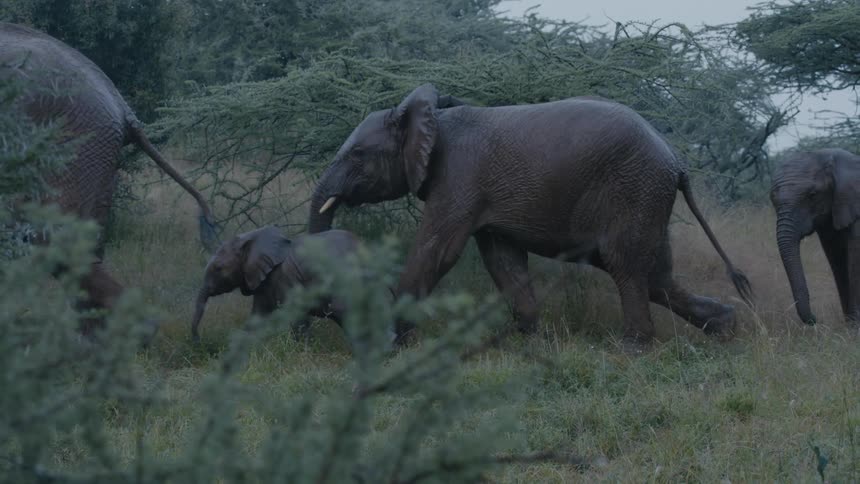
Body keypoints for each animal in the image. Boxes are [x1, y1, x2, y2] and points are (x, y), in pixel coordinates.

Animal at [191, 226, 394, 344]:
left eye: (218, 268)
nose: (198, 342)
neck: (252, 238)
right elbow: (258, 317)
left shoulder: (284, 277)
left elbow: (296, 314)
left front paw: (306, 352)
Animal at [308, 83, 752, 347]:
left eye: (357, 154)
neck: (431, 116)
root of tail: (677, 161)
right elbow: (503, 260)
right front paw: (523, 339)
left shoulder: (459, 177)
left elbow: (437, 251)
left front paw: (391, 341)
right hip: (648, 197)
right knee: (656, 276)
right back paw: (726, 330)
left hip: (635, 189)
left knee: (625, 265)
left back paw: (633, 349)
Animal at [771, 148, 860, 325]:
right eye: (772, 199)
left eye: (812, 195)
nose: (815, 319)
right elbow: (837, 259)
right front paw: (851, 326)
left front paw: (855, 326)